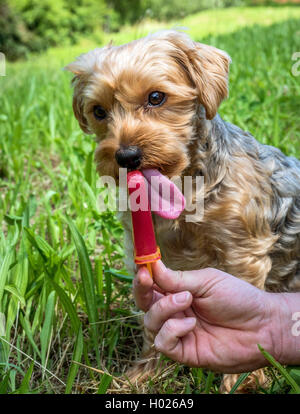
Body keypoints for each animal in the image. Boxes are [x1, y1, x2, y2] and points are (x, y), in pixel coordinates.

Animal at [65, 30, 300, 392]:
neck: (186, 185)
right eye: (99, 111)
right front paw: (144, 373)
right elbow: (154, 321)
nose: (126, 156)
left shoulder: (242, 251)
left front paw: (242, 379)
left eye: (156, 97)